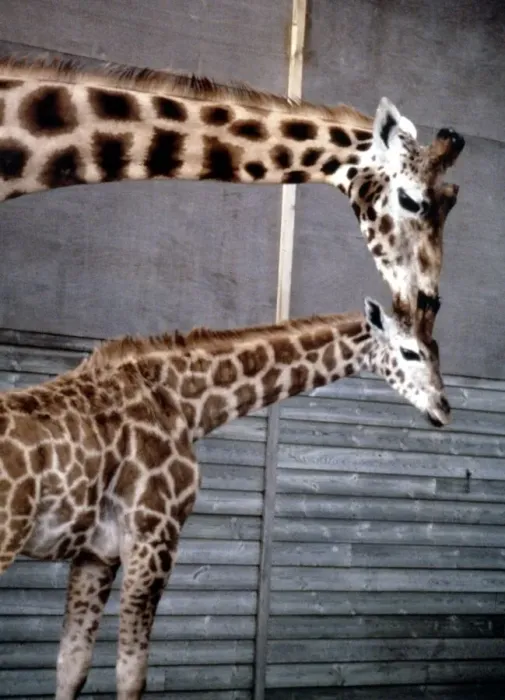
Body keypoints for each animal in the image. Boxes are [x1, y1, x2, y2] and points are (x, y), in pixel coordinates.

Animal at [0, 297, 451, 699]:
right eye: (409, 352)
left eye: (437, 352)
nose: (444, 409)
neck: (185, 403)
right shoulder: (154, 538)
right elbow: (131, 674)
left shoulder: (96, 553)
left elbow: (71, 666)